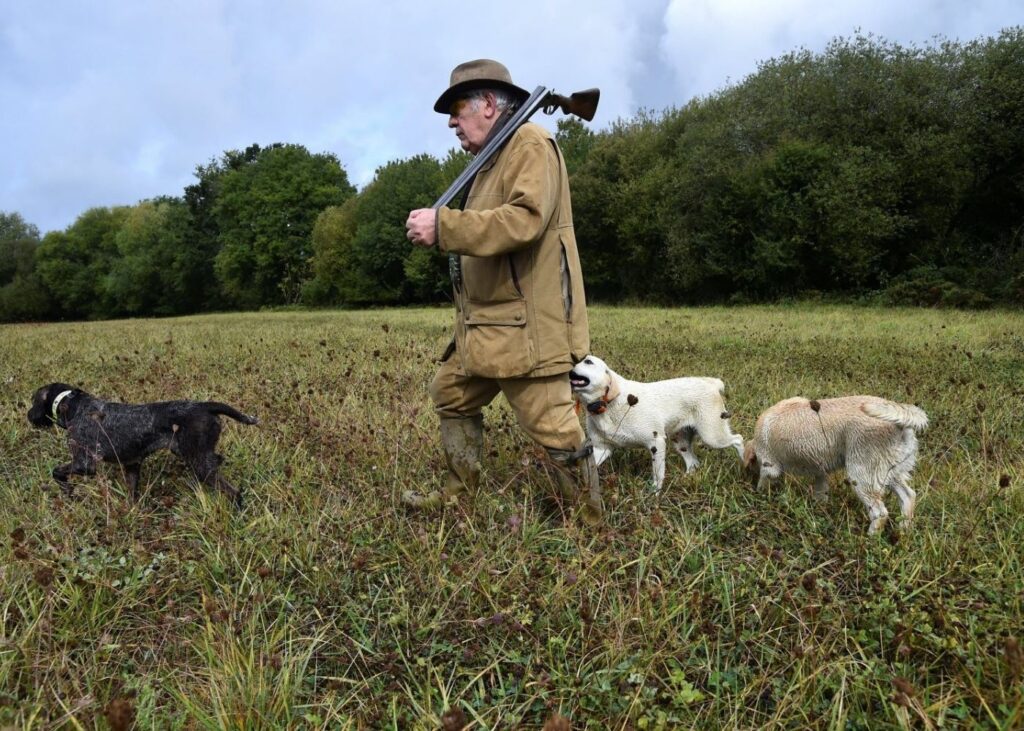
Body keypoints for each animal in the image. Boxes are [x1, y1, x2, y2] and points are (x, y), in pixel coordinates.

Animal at [29, 380, 256, 507]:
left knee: (234, 493)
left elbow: (57, 472)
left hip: (199, 463)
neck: (75, 406)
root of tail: (205, 406)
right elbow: (132, 495)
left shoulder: (84, 464)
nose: (28, 415)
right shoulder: (132, 465)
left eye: (33, 400)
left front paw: (67, 490)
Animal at [569, 354, 745, 489]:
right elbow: (587, 470)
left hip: (712, 436)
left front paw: (654, 495)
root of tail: (711, 382)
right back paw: (686, 479)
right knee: (693, 462)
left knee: (738, 439)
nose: (569, 368)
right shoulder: (601, 449)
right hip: (680, 442)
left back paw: (744, 465)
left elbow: (658, 474)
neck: (605, 406)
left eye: (588, 362)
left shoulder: (656, 443)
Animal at [745, 395, 929, 532]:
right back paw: (903, 532)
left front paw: (759, 497)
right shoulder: (820, 472)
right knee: (908, 496)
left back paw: (871, 539)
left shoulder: (770, 468)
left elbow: (763, 483)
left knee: (880, 513)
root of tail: (901, 424)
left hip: (862, 476)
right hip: (890, 473)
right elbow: (821, 493)